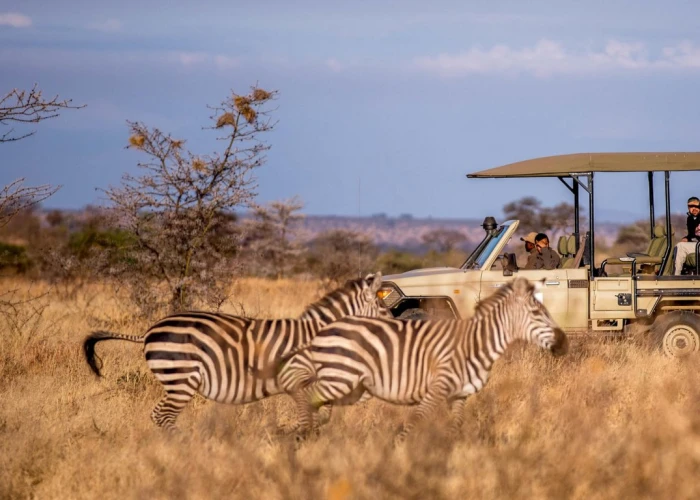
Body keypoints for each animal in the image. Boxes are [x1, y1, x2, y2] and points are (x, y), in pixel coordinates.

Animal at [83, 272, 388, 432]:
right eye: (384, 309)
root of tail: (149, 330)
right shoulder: (298, 380)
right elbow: (310, 414)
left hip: (175, 381)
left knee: (158, 415)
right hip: (181, 379)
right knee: (164, 416)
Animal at [268, 278, 568, 442]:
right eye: (538, 313)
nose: (563, 343)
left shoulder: (455, 394)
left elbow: (453, 427)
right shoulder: (437, 389)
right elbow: (416, 424)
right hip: (339, 378)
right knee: (309, 399)